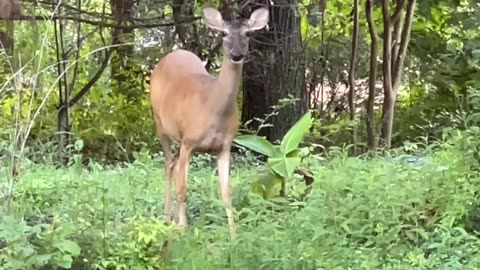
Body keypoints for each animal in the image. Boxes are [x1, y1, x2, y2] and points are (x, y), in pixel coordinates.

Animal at [149, 6, 270, 238]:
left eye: (248, 34)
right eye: (223, 33)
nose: (237, 55)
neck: (213, 107)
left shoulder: (224, 146)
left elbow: (227, 192)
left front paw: (233, 236)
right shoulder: (189, 141)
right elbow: (183, 189)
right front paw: (183, 230)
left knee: (174, 166)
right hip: (160, 124)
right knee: (168, 166)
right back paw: (167, 219)